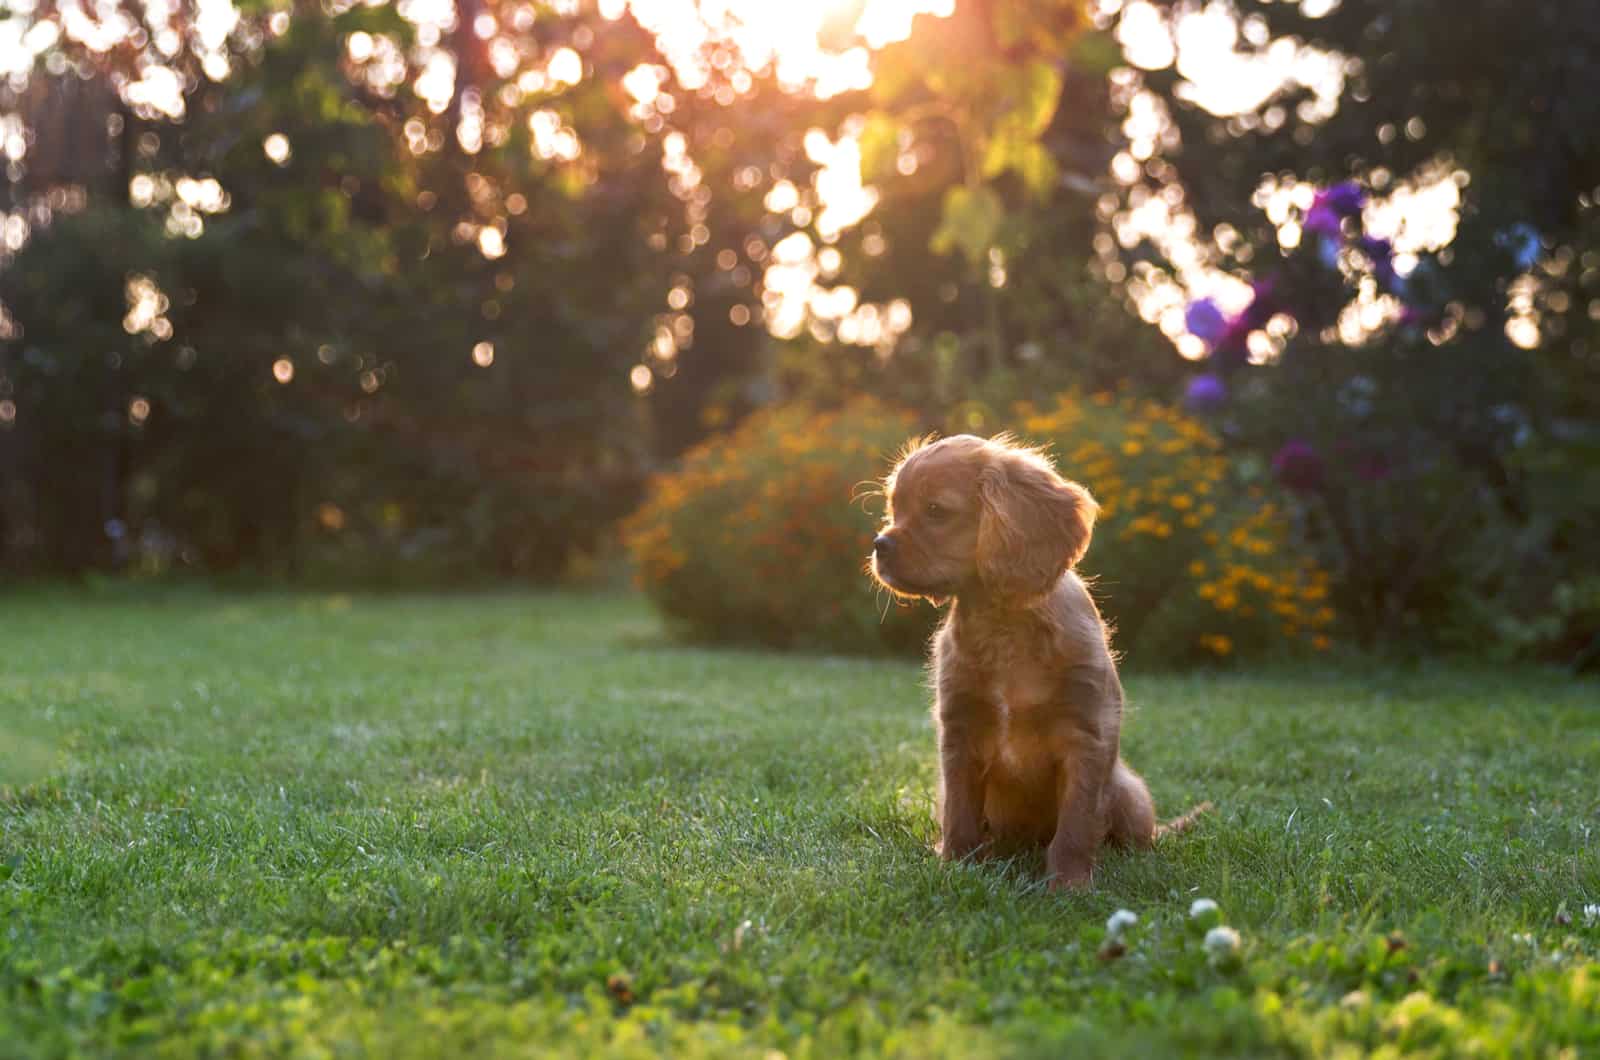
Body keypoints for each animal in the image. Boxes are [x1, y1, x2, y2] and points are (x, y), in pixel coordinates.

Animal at [876, 435, 1203, 890]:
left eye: (936, 510)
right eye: (894, 508)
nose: (878, 545)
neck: (1004, 624)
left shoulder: (1086, 736)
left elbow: (1077, 823)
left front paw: (1069, 885)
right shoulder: (958, 734)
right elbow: (959, 813)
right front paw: (956, 867)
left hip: (1129, 792)